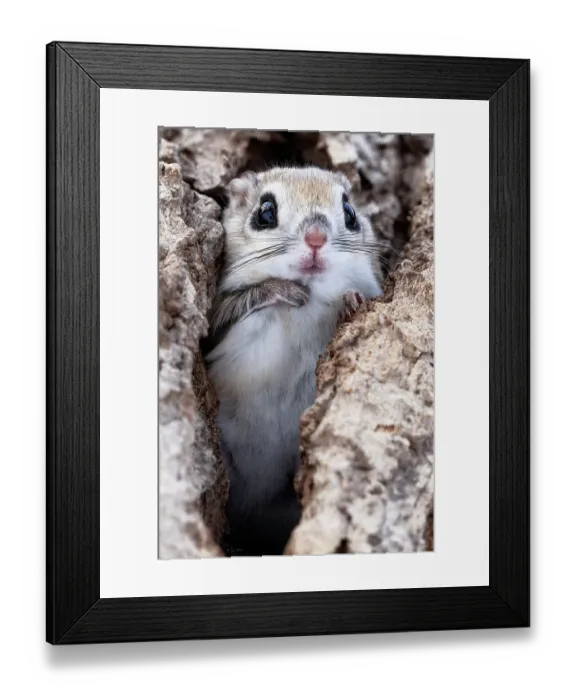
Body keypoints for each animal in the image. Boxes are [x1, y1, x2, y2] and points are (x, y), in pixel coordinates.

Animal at [204, 166, 385, 555]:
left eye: (350, 211)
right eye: (265, 211)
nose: (316, 236)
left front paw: (352, 300)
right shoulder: (213, 323)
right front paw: (281, 290)